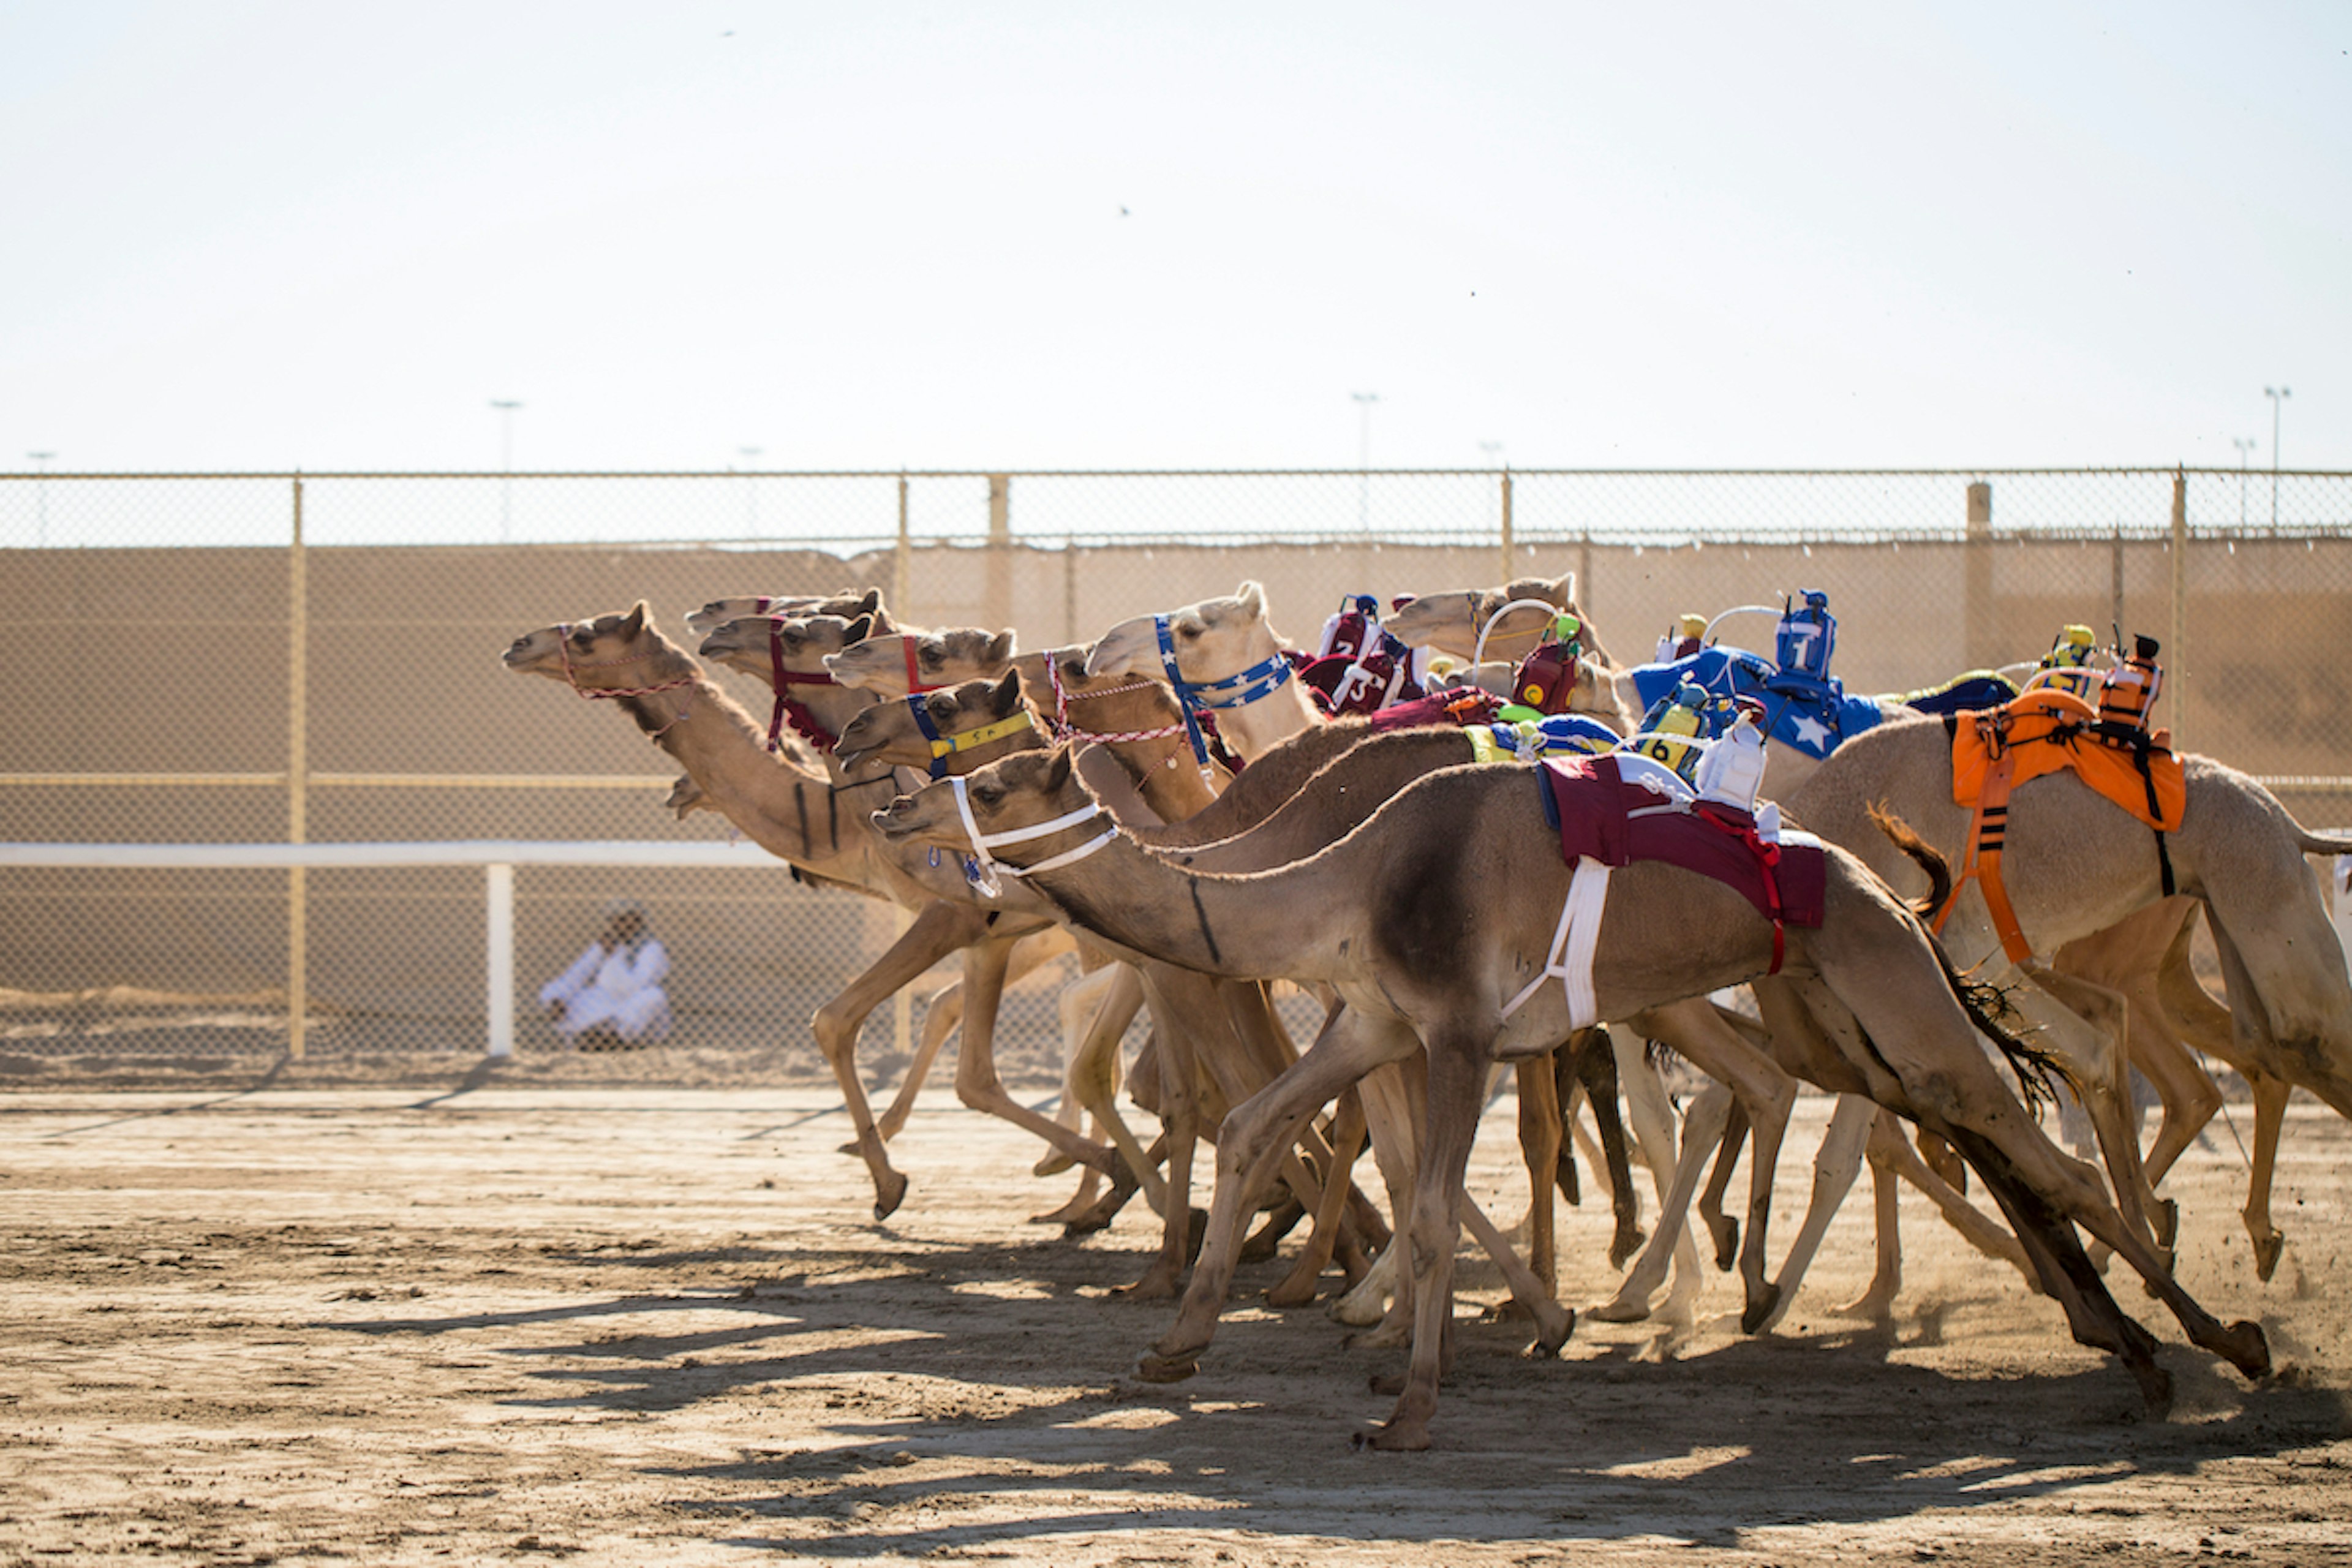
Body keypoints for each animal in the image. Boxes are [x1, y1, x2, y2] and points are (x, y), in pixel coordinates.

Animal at [875, 747, 2267, 1448]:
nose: (890, 806)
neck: (1349, 878)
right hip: (1837, 1008)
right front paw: (1172, 1346)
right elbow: (1254, 1119)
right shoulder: (1374, 1015)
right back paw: (2132, 1346)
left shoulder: (1453, 1027)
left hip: (1885, 978)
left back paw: (2222, 1346)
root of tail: (1883, 881)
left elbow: (1431, 1207)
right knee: (1962, 1126)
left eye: (989, 783)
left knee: (2033, 1140)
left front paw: (1412, 1407)